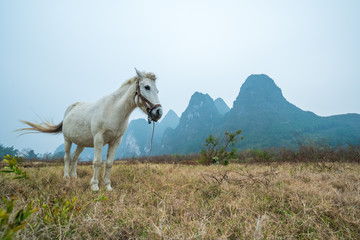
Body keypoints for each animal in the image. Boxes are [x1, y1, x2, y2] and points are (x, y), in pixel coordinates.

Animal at [20, 69, 164, 191]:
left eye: (157, 90)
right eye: (147, 87)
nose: (158, 112)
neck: (114, 111)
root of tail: (70, 109)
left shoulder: (116, 141)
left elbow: (109, 163)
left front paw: (107, 186)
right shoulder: (99, 139)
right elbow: (97, 162)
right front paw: (94, 185)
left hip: (81, 143)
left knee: (75, 157)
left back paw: (74, 177)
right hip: (67, 139)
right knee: (67, 157)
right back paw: (66, 177)